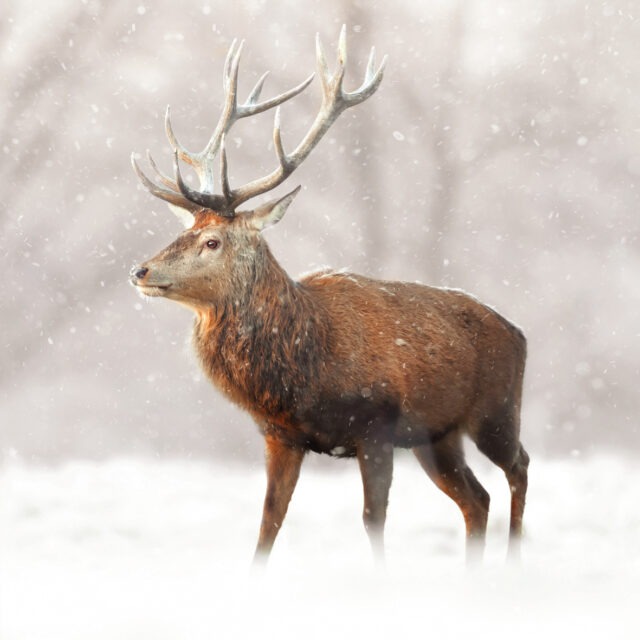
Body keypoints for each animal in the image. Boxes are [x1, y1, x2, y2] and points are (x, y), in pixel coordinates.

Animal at [129, 27, 529, 566]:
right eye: (186, 229)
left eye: (212, 241)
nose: (141, 270)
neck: (304, 371)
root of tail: (519, 332)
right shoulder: (281, 436)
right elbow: (268, 524)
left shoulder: (376, 427)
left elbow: (373, 520)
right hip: (437, 437)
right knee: (476, 499)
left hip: (496, 411)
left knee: (518, 467)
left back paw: (514, 561)